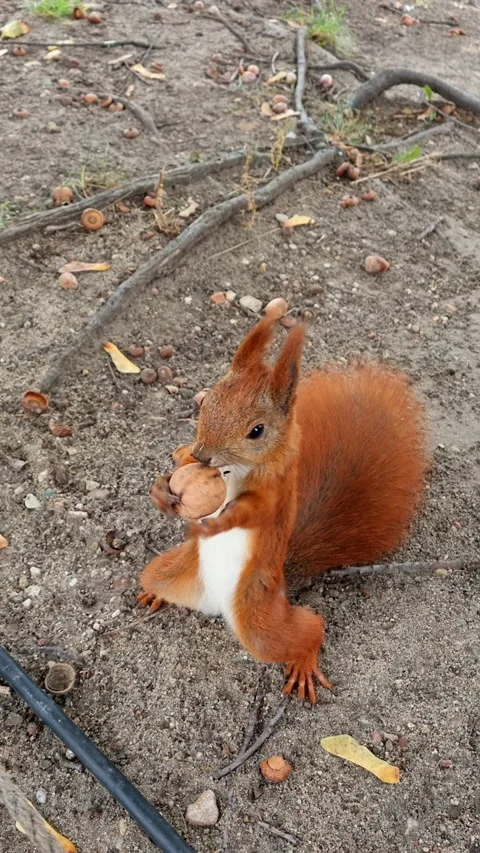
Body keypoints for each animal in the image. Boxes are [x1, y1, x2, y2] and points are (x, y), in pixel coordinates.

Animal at [138, 316, 427, 703]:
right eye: (208, 400)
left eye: (257, 431)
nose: (204, 455)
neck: (233, 471)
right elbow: (180, 461)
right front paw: (162, 487)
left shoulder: (274, 495)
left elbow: (251, 513)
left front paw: (213, 524)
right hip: (169, 571)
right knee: (155, 577)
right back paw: (153, 592)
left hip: (260, 621)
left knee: (309, 627)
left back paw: (304, 661)